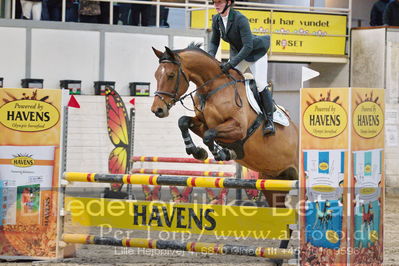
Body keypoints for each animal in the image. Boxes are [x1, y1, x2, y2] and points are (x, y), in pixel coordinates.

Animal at [152, 44, 298, 210]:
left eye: (170, 75)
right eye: (156, 75)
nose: (157, 110)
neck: (212, 88)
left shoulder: (238, 129)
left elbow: (209, 135)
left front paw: (222, 153)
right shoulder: (202, 123)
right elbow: (183, 122)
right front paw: (197, 151)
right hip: (273, 181)